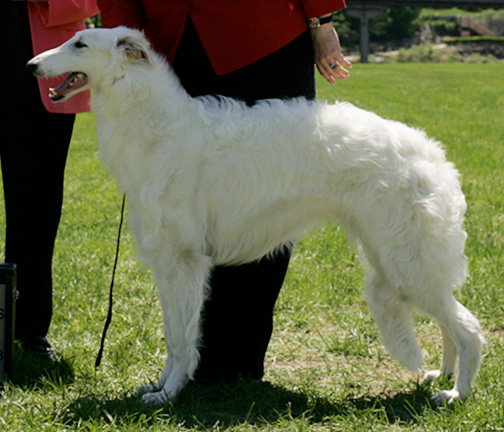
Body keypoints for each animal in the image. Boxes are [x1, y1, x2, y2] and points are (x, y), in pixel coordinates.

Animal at [28, 26, 484, 404]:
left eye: (80, 44)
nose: (31, 65)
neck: (161, 127)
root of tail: (434, 154)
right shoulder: (167, 262)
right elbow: (173, 332)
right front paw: (159, 384)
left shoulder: (185, 260)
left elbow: (181, 338)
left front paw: (169, 394)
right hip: (399, 260)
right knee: (449, 323)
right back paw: (441, 376)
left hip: (405, 261)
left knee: (469, 328)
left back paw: (456, 394)